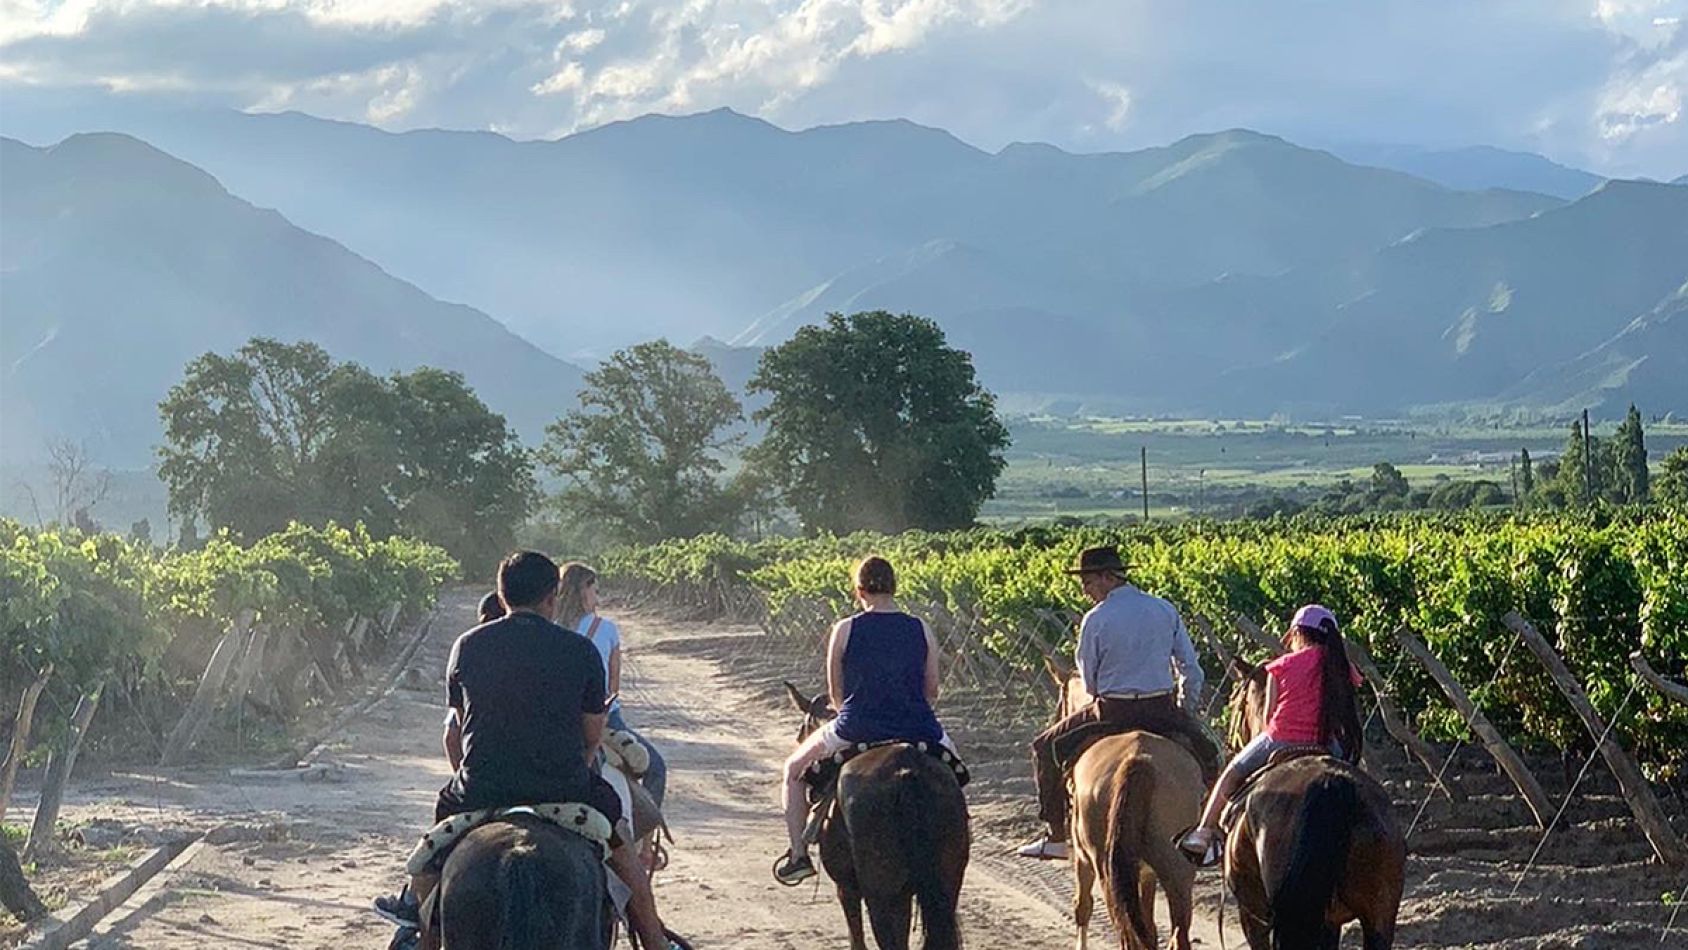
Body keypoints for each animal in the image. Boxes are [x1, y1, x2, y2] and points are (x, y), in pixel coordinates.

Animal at [783, 685, 972, 950]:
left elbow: (857, 938)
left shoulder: (847, 887)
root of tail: (906, 772)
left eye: (802, 730)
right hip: (946, 884)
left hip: (882, 896)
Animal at [1046, 661, 1208, 950]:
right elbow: (1149, 925)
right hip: (1177, 867)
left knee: (1125, 930)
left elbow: (1082, 906)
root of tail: (1138, 759)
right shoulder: (1144, 872)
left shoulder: (1082, 857)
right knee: (1177, 933)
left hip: (1106, 869)